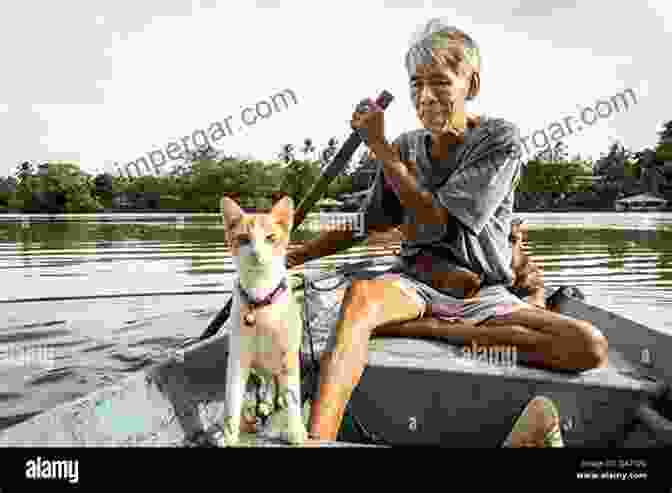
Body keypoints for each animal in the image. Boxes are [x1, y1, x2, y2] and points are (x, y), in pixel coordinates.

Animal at [217, 196, 308, 446]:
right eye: (243, 239)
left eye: (270, 238)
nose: (256, 253)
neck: (259, 301)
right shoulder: (238, 357)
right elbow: (232, 398)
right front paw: (229, 435)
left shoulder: (288, 357)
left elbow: (293, 396)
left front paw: (295, 431)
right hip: (257, 365)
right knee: (266, 380)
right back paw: (266, 400)